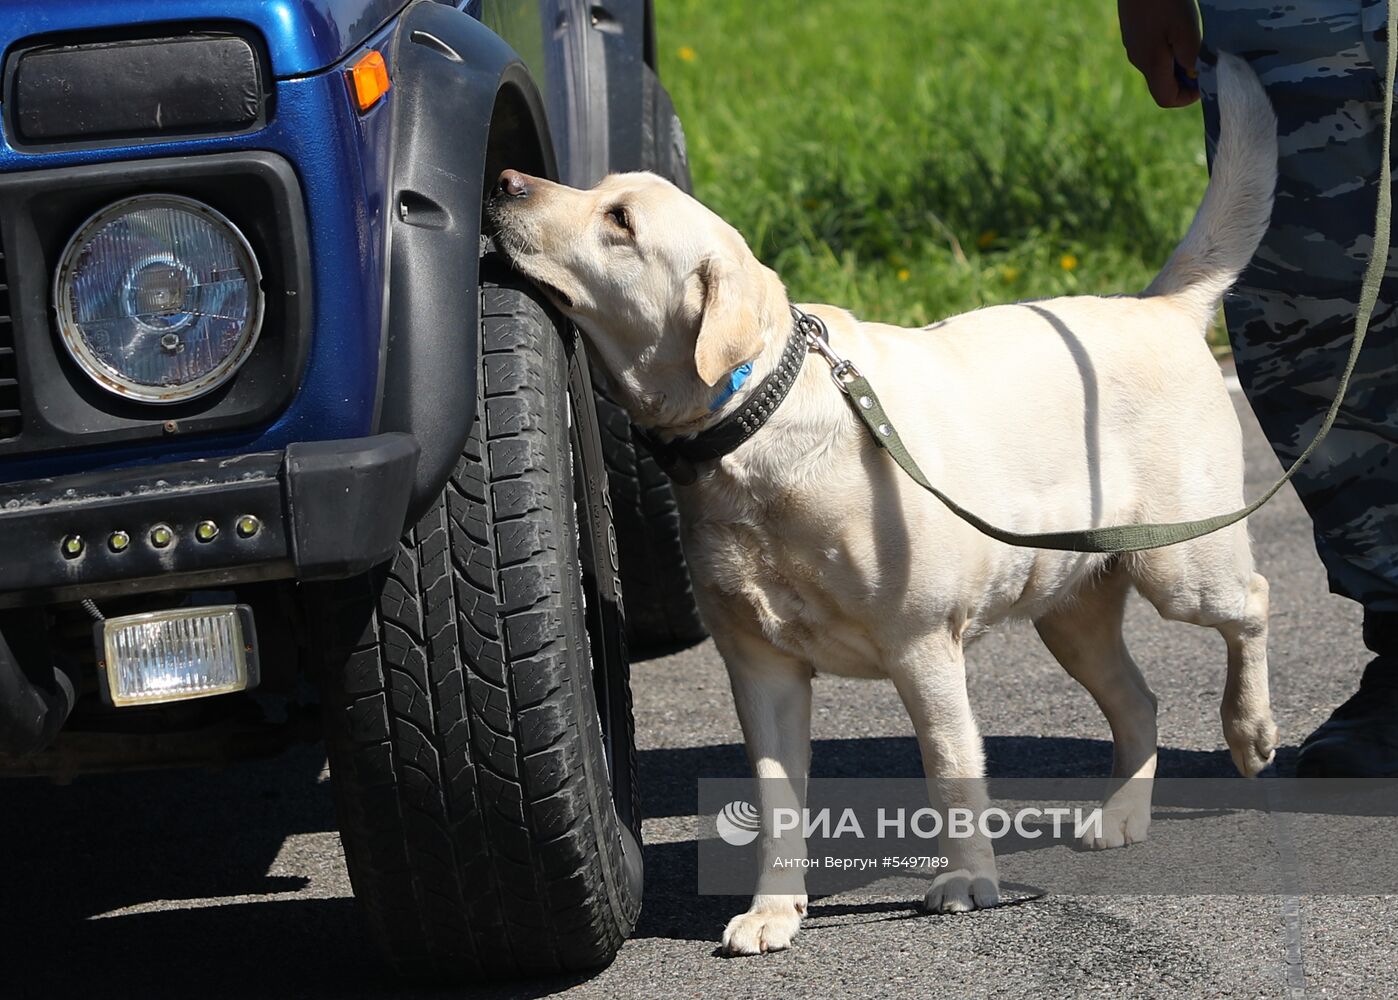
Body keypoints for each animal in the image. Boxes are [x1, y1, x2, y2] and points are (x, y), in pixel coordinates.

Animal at [489, 52, 1280, 956]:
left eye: (618, 219)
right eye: (598, 190)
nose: (504, 180)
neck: (758, 418)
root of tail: (1161, 306)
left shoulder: (922, 645)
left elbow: (950, 767)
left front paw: (969, 880)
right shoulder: (759, 667)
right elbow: (776, 800)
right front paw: (773, 910)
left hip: (1180, 564)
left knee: (1252, 604)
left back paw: (1251, 734)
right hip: (1070, 608)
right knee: (1138, 702)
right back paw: (1122, 815)